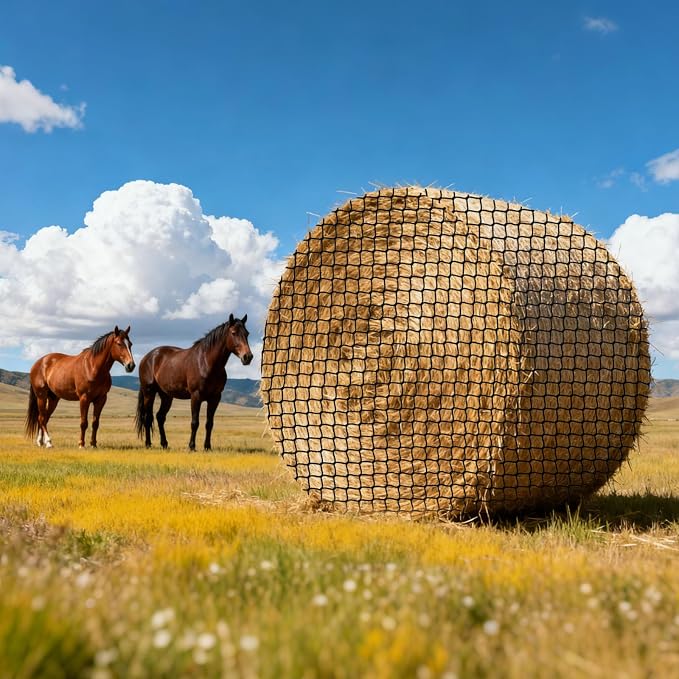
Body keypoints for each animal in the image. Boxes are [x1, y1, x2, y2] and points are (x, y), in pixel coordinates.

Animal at [135, 314, 253, 451]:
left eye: (247, 333)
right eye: (233, 333)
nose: (248, 357)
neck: (206, 362)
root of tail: (147, 357)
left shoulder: (215, 398)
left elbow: (209, 423)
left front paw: (207, 447)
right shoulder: (196, 396)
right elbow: (195, 422)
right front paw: (192, 446)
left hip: (166, 396)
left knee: (160, 417)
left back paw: (164, 444)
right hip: (149, 393)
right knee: (147, 418)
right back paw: (148, 444)